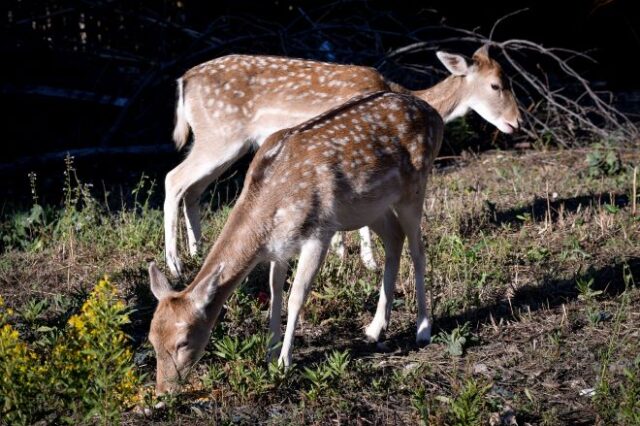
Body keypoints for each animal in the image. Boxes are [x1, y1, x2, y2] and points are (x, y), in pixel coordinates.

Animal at [164, 46, 520, 278]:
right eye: (495, 85)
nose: (516, 122)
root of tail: (183, 82)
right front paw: (368, 262)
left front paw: (340, 252)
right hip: (220, 136)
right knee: (173, 179)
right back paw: (175, 265)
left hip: (221, 143)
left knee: (192, 189)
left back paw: (197, 252)